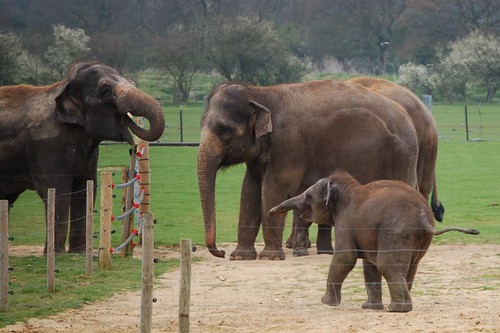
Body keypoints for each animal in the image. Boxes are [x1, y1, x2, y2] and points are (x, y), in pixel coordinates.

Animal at [0, 61, 167, 252]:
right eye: (105, 91)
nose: (134, 146)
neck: (63, 86)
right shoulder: (46, 146)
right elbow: (57, 191)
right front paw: (58, 254)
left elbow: (86, 190)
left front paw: (78, 253)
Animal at [197, 80, 420, 260]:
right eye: (201, 124)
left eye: (225, 130)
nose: (220, 252)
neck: (261, 93)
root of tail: (408, 118)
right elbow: (249, 191)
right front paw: (241, 257)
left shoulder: (289, 145)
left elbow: (273, 190)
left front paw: (270, 257)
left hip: (401, 158)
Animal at [268, 171, 478, 312]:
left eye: (308, 197)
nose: (270, 213)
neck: (349, 187)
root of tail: (422, 215)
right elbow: (369, 264)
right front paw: (369, 307)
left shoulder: (346, 222)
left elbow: (346, 258)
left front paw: (325, 302)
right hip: (418, 237)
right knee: (410, 267)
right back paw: (401, 305)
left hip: (395, 231)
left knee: (387, 265)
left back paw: (397, 309)